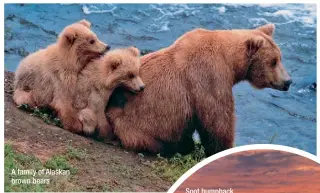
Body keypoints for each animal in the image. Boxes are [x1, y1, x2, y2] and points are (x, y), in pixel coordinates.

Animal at [106, 23, 292, 157]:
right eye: (273, 61)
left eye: (279, 57)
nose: (288, 81)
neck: (230, 62)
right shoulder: (208, 77)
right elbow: (218, 120)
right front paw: (222, 149)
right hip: (136, 127)